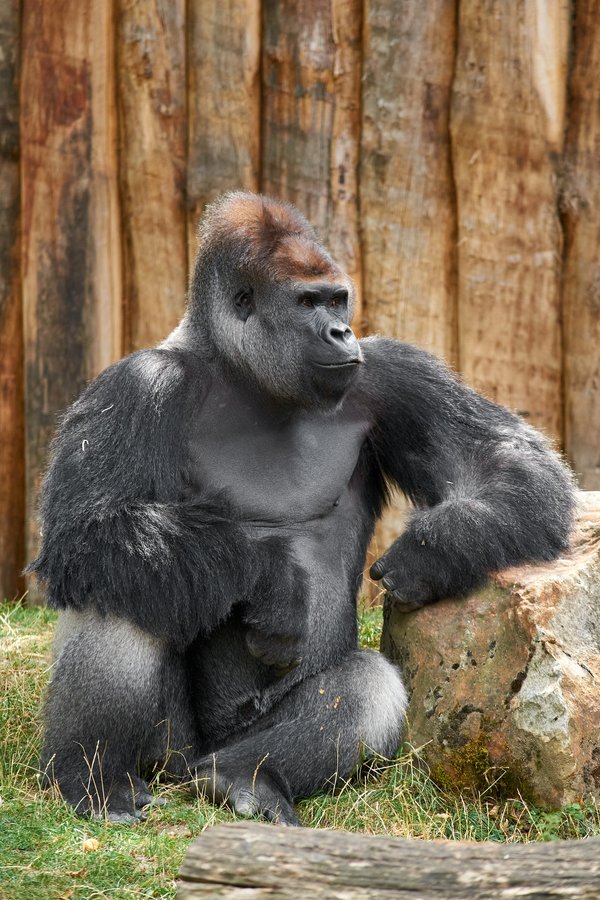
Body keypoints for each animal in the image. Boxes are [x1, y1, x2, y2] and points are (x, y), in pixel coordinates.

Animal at [29, 192, 575, 825]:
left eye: (337, 299)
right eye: (307, 302)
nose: (341, 331)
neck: (239, 371)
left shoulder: (388, 371)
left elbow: (499, 457)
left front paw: (433, 551)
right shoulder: (136, 385)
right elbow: (85, 531)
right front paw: (271, 582)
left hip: (233, 742)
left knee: (365, 687)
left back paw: (245, 777)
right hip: (168, 753)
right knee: (119, 578)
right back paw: (96, 777)